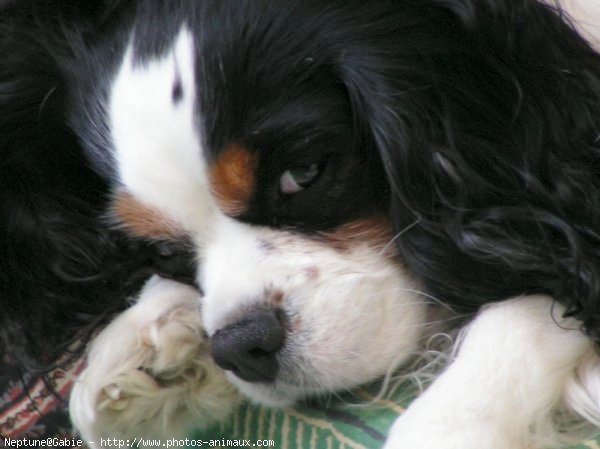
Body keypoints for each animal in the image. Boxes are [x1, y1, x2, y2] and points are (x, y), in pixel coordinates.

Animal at [3, 0, 600, 446]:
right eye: (162, 251)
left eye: (304, 173)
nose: (241, 346)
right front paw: (149, 343)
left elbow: (528, 301)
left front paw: (453, 422)